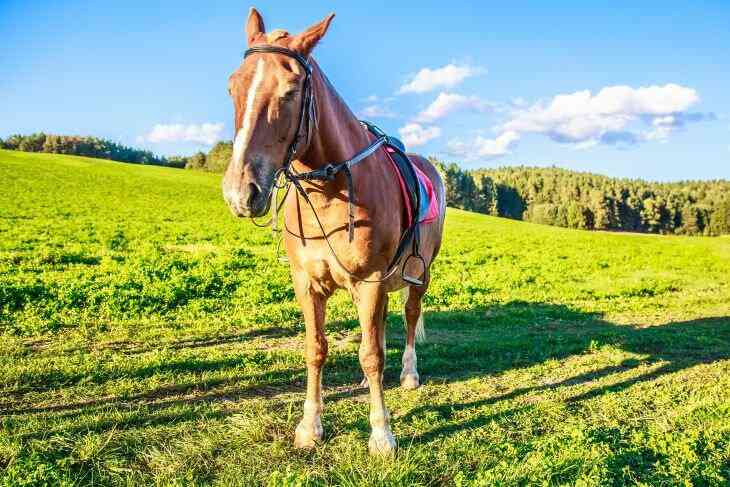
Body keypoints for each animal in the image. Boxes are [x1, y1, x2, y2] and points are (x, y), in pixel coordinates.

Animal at [222, 8, 444, 458]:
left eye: (291, 91)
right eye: (233, 85)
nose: (241, 192)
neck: (332, 193)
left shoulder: (372, 281)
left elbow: (372, 354)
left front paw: (381, 434)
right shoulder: (307, 282)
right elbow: (317, 349)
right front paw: (310, 427)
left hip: (420, 274)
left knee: (410, 317)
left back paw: (409, 374)